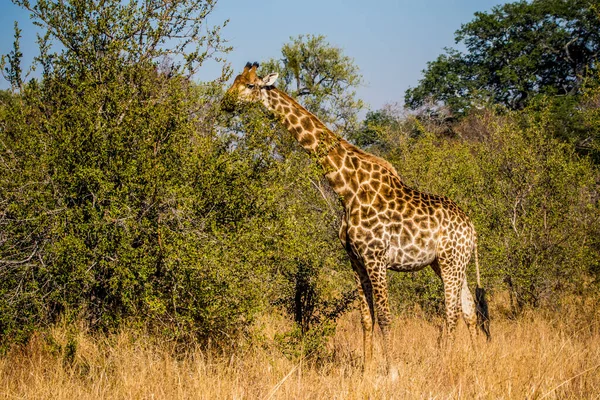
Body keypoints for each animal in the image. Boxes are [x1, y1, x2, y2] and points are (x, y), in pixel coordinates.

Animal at [223, 61, 490, 368]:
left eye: (250, 85)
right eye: (234, 81)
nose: (226, 102)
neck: (346, 189)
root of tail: (472, 227)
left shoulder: (376, 257)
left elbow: (385, 318)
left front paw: (391, 370)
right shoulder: (356, 260)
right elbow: (366, 318)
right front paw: (366, 369)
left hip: (450, 262)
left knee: (451, 312)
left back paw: (444, 362)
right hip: (450, 263)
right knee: (468, 308)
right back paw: (475, 361)